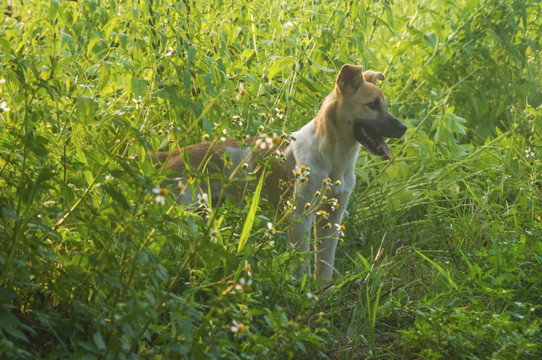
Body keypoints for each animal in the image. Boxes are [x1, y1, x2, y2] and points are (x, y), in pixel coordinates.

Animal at [151, 63, 406, 280]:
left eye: (384, 105)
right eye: (372, 105)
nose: (403, 128)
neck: (334, 158)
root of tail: (173, 155)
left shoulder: (332, 217)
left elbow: (325, 268)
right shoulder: (299, 217)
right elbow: (302, 266)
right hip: (183, 216)